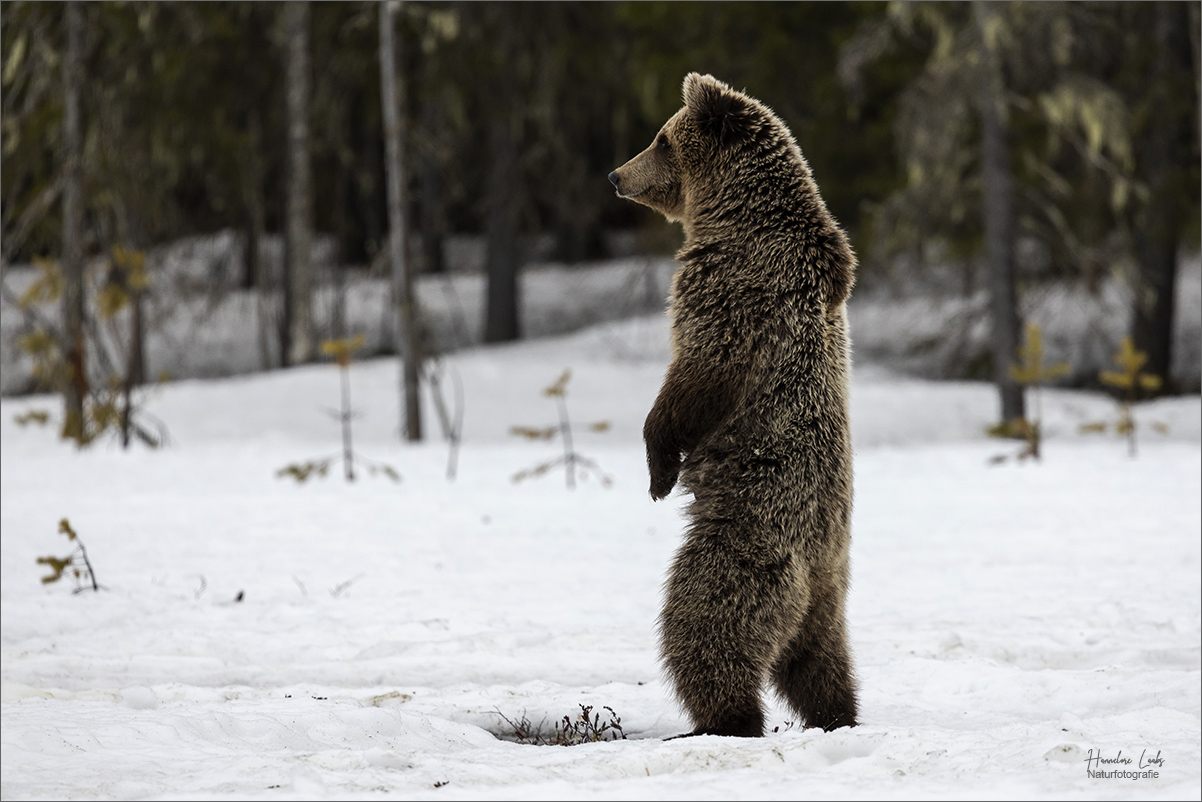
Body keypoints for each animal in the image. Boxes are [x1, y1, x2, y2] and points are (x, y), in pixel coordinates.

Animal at [615, 72, 860, 735]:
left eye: (660, 138)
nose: (616, 175)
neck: (730, 216)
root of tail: (815, 571)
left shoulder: (732, 288)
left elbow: (700, 374)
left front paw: (658, 470)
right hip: (828, 592)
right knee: (821, 659)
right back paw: (839, 714)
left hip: (749, 539)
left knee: (704, 619)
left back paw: (721, 716)